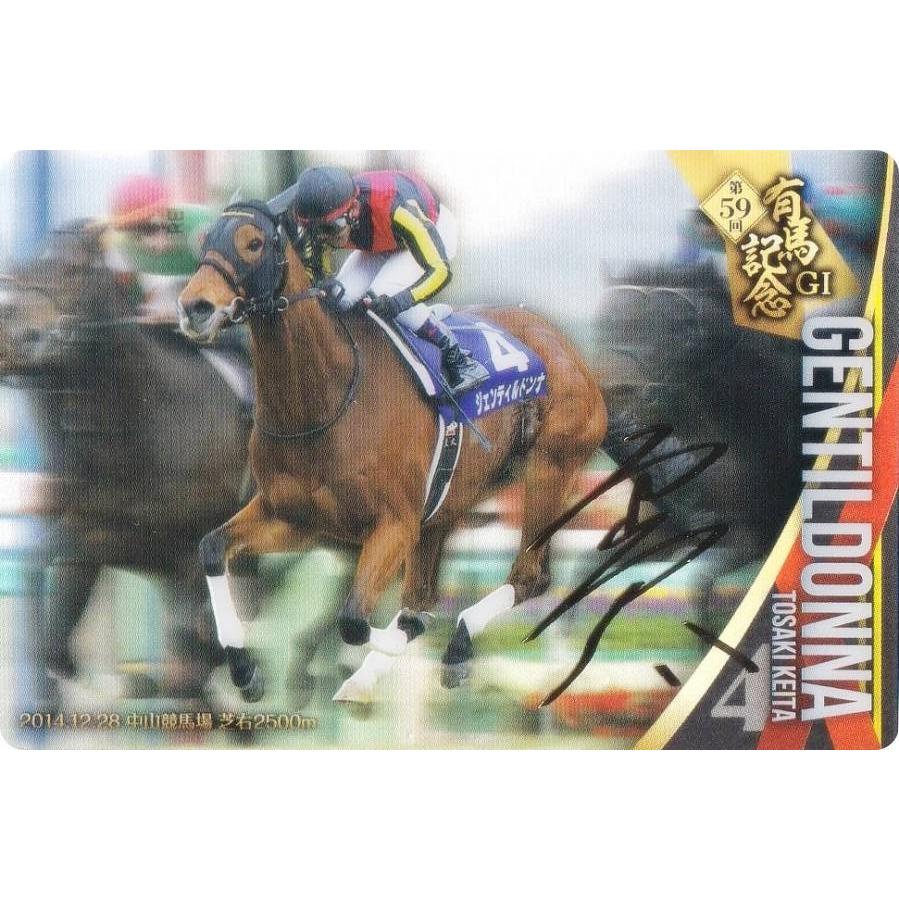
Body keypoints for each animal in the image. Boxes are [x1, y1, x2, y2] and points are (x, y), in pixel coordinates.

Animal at [0, 224, 264, 703]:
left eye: (73, 268)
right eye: (21, 271)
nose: (19, 335)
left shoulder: (178, 542)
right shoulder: (105, 530)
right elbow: (46, 569)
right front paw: (60, 671)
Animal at [177, 200, 607, 703]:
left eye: (253, 243)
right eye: (206, 239)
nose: (195, 307)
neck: (325, 398)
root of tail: (569, 350)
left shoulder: (394, 525)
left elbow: (353, 620)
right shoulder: (296, 518)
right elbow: (211, 547)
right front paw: (245, 670)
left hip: (550, 468)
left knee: (528, 576)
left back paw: (455, 648)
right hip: (448, 503)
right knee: (422, 598)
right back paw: (368, 677)